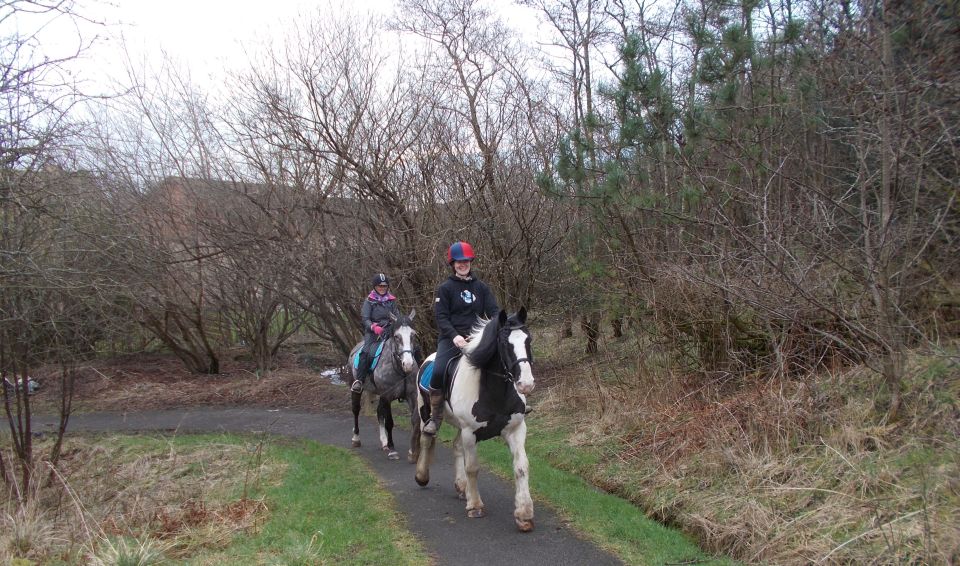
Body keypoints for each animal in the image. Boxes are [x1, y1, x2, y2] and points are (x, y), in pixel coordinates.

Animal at [344, 310, 420, 462]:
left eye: (413, 335)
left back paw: (384, 442)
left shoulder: (411, 395)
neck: (399, 369)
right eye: (397, 337)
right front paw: (393, 450)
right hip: (356, 388)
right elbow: (389, 422)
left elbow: (414, 420)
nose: (408, 364)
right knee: (356, 410)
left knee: (379, 412)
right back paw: (356, 439)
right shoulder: (387, 396)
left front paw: (413, 451)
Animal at [412, 306, 536, 532]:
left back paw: (462, 487)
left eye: (528, 339)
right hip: (425, 412)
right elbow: (473, 467)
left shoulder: (515, 430)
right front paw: (475, 506)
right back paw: (422, 476)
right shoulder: (470, 432)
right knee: (426, 439)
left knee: (456, 446)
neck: (492, 391)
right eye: (504, 344)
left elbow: (521, 466)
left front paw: (524, 514)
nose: (526, 384)